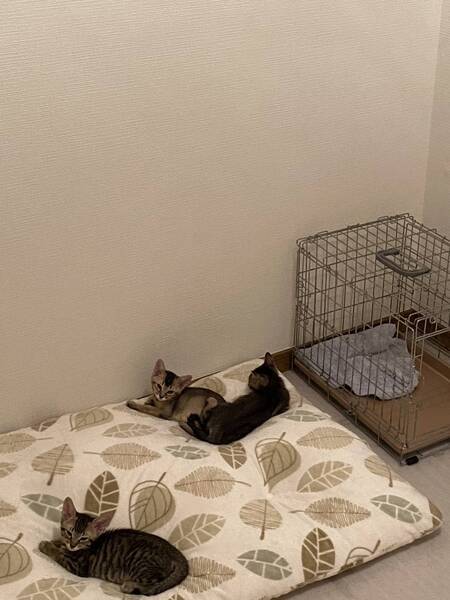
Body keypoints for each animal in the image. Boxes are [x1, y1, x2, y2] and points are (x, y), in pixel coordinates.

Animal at [39, 497, 188, 596]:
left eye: (83, 538)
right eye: (69, 533)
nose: (72, 544)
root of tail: (176, 554)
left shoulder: (77, 566)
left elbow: (59, 554)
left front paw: (46, 545)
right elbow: (61, 546)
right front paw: (56, 542)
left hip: (141, 565)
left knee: (155, 583)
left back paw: (130, 586)